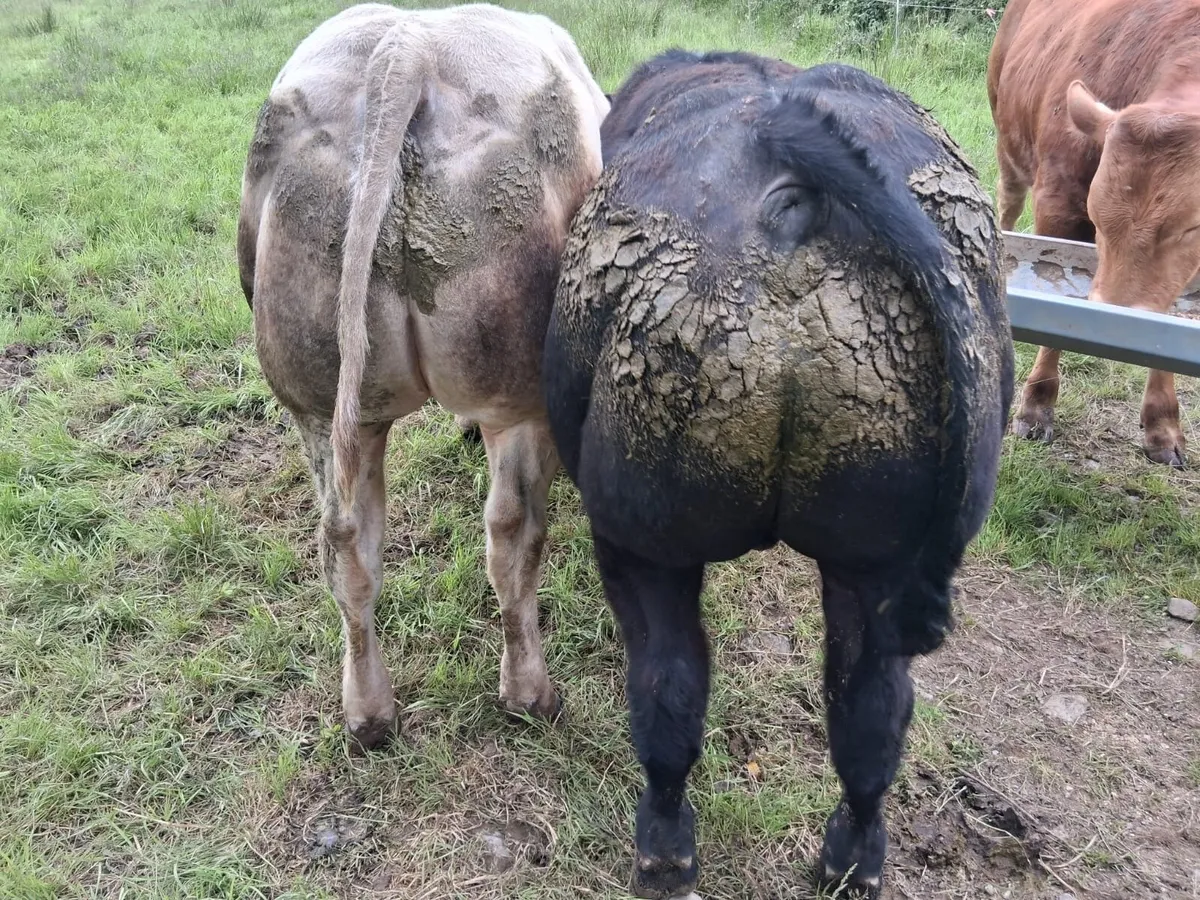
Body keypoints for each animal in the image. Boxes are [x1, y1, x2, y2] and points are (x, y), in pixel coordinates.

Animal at [236, 3, 608, 750]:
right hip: (514, 393)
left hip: (319, 397)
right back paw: (530, 694)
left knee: (345, 544)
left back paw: (368, 715)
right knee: (512, 536)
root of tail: (406, 48)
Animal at [543, 51, 1014, 899]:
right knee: (872, 708)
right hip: (876, 552)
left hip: (644, 539)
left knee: (668, 687)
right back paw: (853, 856)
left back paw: (664, 847)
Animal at [988, 0, 1200, 467]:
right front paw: (1036, 407)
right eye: (1095, 213)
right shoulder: (1057, 198)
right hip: (1007, 143)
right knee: (1006, 203)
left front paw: (1163, 425)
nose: (1115, 323)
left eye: (1193, 225)